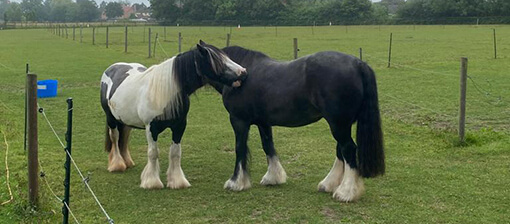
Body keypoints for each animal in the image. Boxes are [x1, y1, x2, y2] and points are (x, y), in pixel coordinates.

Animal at [100, 40, 247, 189]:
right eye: (218, 61)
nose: (243, 72)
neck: (165, 93)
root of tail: (113, 68)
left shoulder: (179, 126)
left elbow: (175, 152)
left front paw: (177, 181)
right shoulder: (151, 128)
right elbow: (153, 153)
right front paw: (152, 182)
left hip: (126, 121)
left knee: (124, 138)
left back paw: (128, 162)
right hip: (111, 119)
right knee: (115, 138)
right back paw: (117, 165)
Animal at [215, 46, 386, 202]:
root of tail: (358, 63)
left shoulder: (239, 120)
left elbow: (240, 148)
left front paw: (236, 183)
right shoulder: (263, 122)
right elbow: (268, 146)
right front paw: (273, 178)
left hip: (338, 124)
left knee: (348, 149)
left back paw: (345, 192)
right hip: (341, 125)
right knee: (341, 150)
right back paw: (328, 184)